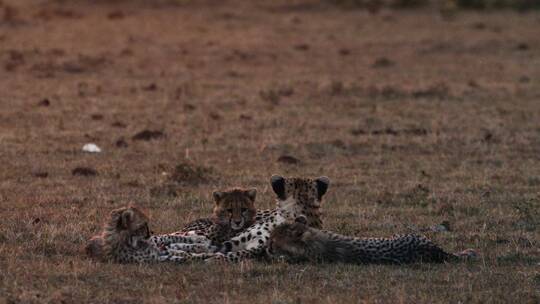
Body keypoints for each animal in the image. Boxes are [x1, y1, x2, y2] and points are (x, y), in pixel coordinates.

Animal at [85, 207, 214, 264]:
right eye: (143, 225)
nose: (151, 232)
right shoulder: (158, 257)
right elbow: (187, 256)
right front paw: (204, 255)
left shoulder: (158, 250)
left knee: (171, 237)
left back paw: (199, 240)